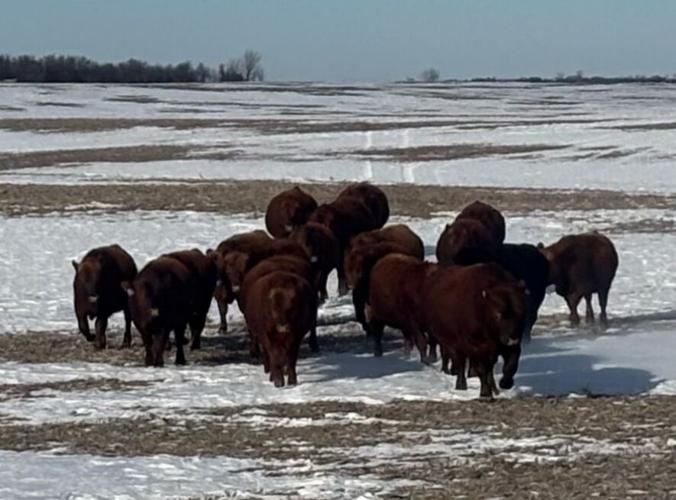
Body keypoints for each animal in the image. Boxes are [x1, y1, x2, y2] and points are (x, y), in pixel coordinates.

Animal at [421, 263, 528, 399]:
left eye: (521, 312)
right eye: (497, 314)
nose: (512, 338)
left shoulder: (509, 346)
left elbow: (511, 365)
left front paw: (505, 383)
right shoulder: (475, 347)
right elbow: (481, 369)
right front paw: (485, 393)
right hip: (453, 345)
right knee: (460, 364)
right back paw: (461, 385)